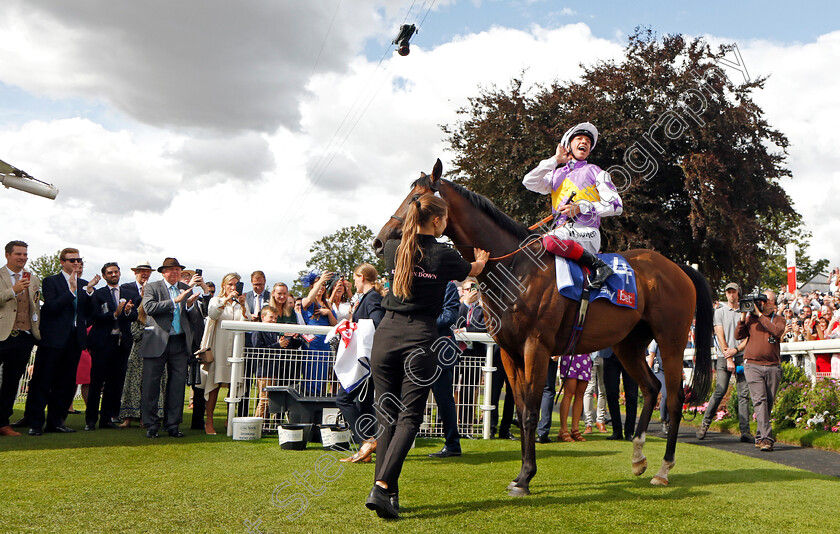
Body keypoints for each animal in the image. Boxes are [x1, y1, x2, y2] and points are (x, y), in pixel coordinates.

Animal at [374, 159, 708, 498]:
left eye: (417, 198)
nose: (380, 240)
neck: (514, 268)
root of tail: (678, 267)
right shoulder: (509, 352)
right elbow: (521, 410)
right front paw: (522, 473)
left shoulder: (536, 347)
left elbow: (532, 411)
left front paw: (525, 478)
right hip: (628, 344)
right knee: (651, 387)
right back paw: (639, 458)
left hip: (671, 341)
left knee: (674, 399)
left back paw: (663, 470)